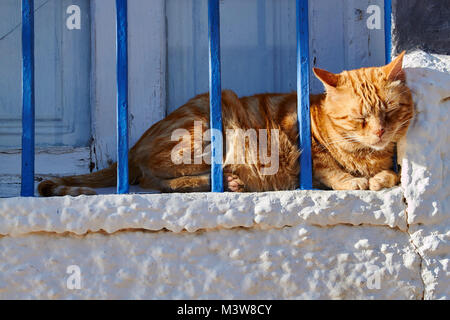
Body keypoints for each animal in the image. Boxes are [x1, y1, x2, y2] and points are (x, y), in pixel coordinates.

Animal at [38, 51, 412, 196]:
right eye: (359, 118)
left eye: (390, 113)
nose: (380, 132)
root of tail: (131, 146)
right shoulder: (300, 144)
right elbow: (325, 166)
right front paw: (354, 181)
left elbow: (390, 173)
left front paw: (382, 176)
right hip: (211, 130)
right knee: (157, 175)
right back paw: (226, 181)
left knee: (152, 179)